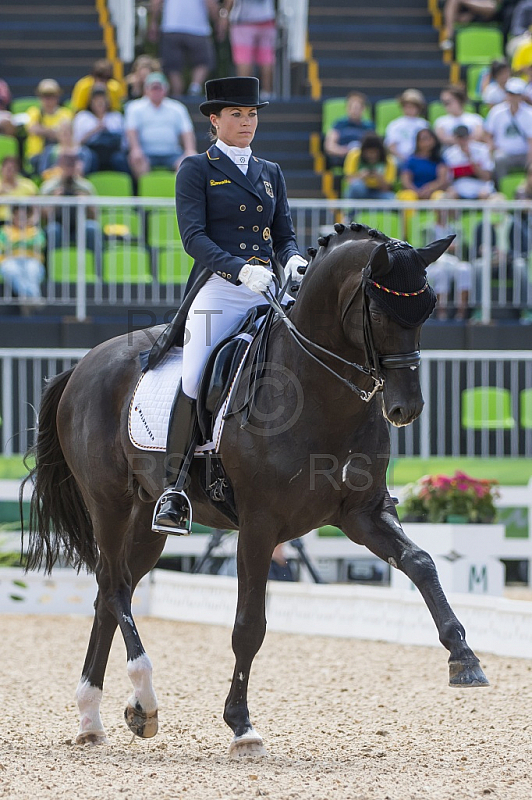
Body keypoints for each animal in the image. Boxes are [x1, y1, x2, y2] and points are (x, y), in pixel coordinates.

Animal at [26, 223, 490, 756]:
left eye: (430, 307)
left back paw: (95, 717)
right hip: (109, 502)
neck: (320, 394)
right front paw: (241, 725)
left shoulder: (362, 512)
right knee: (116, 585)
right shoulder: (258, 525)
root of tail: (83, 365)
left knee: (109, 590)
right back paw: (145, 698)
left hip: (147, 521)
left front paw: (464, 658)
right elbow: (249, 625)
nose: (405, 409)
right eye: (376, 311)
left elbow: (421, 562)